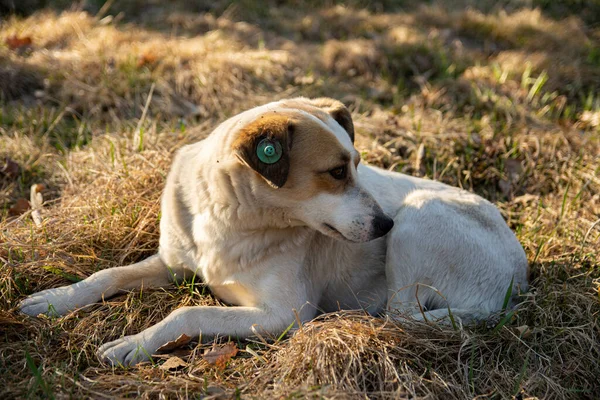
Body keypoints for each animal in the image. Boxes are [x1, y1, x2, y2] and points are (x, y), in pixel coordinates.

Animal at [18, 97, 528, 366]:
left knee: (400, 316)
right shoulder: (173, 263)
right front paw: (53, 300)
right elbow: (107, 275)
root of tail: (518, 278)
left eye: (358, 165)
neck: (230, 217)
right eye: (337, 171)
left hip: (421, 216)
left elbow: (188, 312)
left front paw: (133, 344)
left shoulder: (283, 314)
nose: (385, 223)